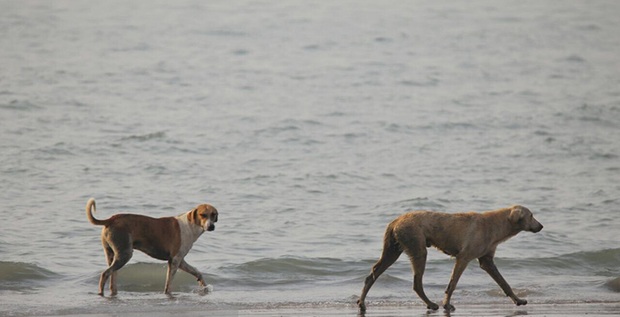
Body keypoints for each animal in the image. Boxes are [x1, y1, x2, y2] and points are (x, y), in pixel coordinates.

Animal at [85, 199, 218, 296]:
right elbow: (169, 283)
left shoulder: (180, 261)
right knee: (105, 274)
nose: (211, 226)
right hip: (125, 254)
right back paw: (101, 293)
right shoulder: (174, 261)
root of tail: (112, 219)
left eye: (213, 215)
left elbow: (197, 272)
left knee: (112, 277)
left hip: (112, 255)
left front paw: (204, 286)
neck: (190, 224)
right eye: (203, 215)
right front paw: (168, 293)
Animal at [358, 205, 544, 312]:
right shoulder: (464, 257)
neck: (497, 225)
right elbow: (452, 284)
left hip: (393, 248)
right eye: (531, 215)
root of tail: (396, 220)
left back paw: (361, 303)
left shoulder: (487, 260)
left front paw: (518, 299)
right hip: (416, 245)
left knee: (373, 272)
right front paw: (447, 303)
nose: (541, 226)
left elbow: (504, 283)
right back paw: (431, 303)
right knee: (417, 282)